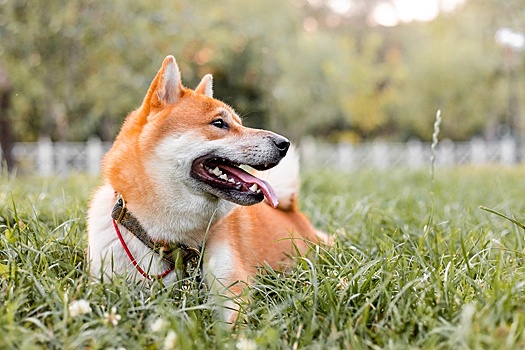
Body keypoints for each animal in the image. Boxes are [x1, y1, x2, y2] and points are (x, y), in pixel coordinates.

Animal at [88, 55, 330, 322]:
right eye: (219, 123)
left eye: (240, 124)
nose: (284, 143)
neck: (172, 243)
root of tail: (291, 210)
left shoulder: (232, 290)